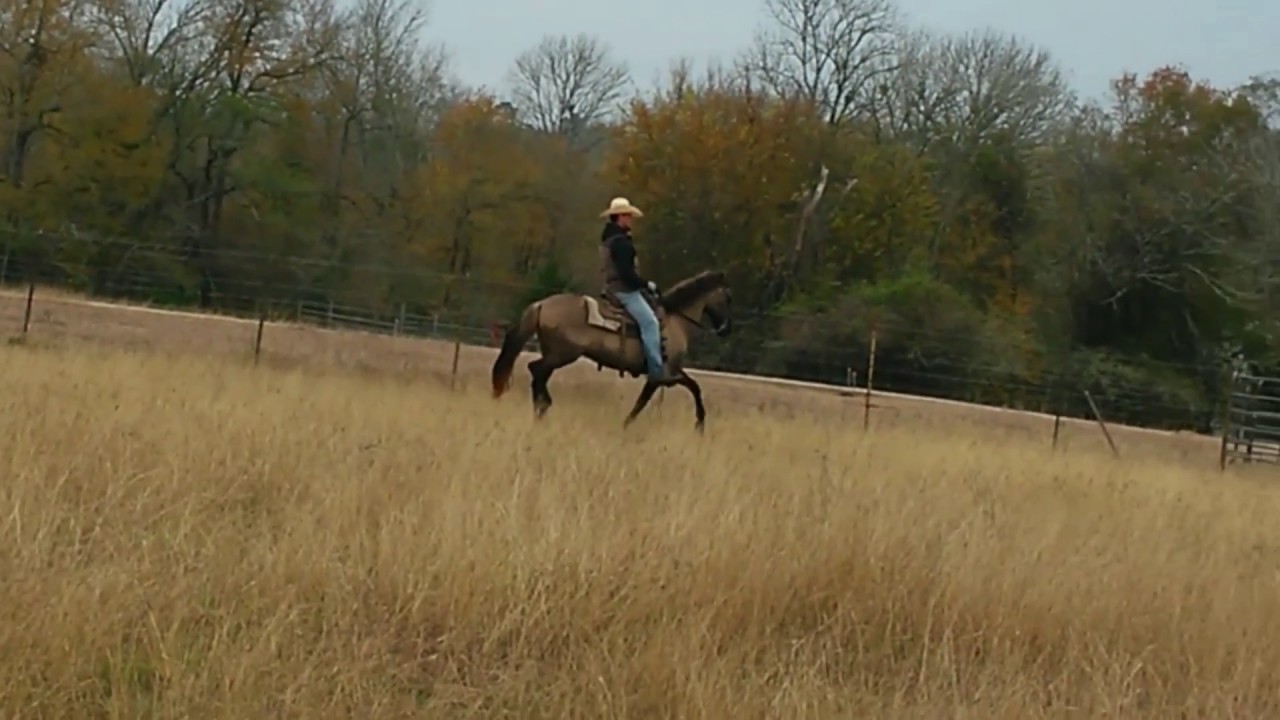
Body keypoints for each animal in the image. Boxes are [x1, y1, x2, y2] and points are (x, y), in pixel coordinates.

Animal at [489, 270, 734, 430]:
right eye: (728, 298)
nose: (726, 329)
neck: (676, 321)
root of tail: (541, 304)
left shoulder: (671, 373)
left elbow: (692, 387)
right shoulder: (662, 375)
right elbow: (653, 399)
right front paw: (700, 423)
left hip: (554, 354)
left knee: (538, 374)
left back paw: (541, 409)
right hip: (563, 354)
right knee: (536, 370)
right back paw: (544, 405)